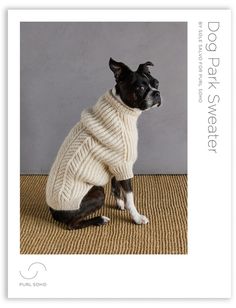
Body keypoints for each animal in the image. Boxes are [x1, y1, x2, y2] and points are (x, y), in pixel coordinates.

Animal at [49, 58, 161, 229]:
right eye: (140, 87)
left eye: (156, 83)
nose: (157, 93)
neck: (120, 109)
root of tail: (54, 212)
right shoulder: (123, 164)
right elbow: (130, 197)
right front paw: (137, 218)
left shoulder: (115, 164)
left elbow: (116, 186)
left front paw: (120, 204)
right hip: (97, 192)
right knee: (72, 224)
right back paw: (100, 219)